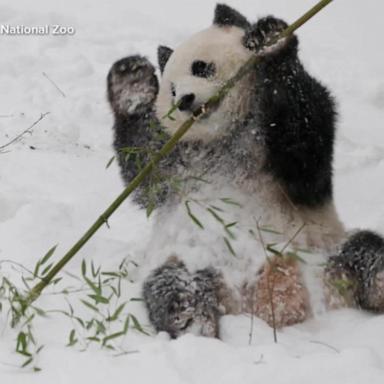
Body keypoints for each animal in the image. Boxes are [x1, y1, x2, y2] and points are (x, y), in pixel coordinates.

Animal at [106, 3, 384, 340]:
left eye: (201, 67)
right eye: (170, 90)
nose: (185, 100)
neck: (226, 137)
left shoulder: (285, 151)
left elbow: (305, 141)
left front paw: (272, 41)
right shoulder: (176, 161)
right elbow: (144, 170)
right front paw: (132, 82)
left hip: (325, 251)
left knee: (366, 251)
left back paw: (379, 285)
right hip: (192, 259)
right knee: (171, 283)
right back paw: (190, 318)